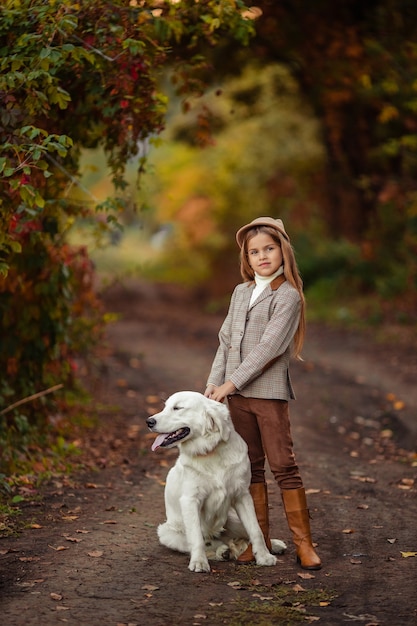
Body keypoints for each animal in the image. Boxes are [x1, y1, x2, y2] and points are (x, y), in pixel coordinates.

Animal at [145, 390, 284, 572]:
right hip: (167, 533)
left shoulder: (242, 495)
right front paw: (199, 562)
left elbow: (256, 529)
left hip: (234, 520)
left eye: (177, 408)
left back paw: (272, 545)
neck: (209, 451)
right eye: (165, 407)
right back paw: (223, 551)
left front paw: (264, 556)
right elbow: (197, 537)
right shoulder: (190, 500)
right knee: (208, 542)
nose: (149, 421)